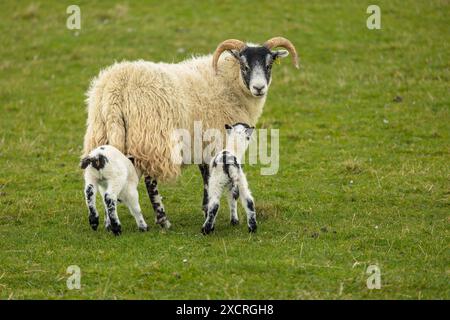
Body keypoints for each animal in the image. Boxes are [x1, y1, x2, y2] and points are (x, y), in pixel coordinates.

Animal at [81, 37, 298, 228]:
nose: (259, 88)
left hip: (100, 135)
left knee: (99, 184)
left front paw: (206, 208)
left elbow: (206, 176)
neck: (229, 81)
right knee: (151, 182)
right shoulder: (217, 141)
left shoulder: (203, 143)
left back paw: (105, 222)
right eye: (244, 66)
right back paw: (162, 220)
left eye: (269, 65)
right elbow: (220, 183)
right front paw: (222, 214)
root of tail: (115, 90)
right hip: (151, 139)